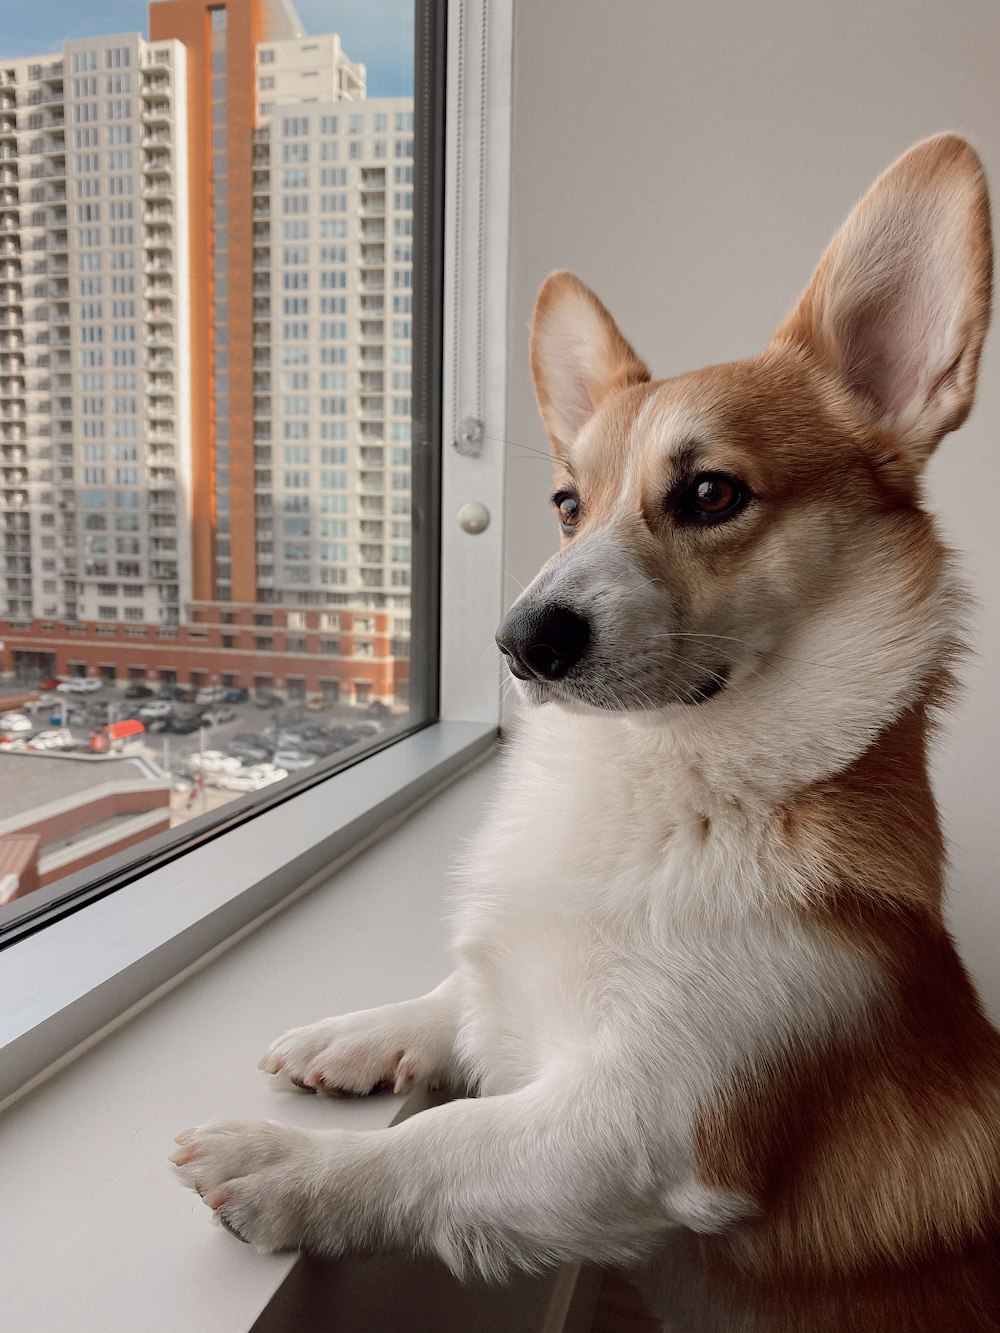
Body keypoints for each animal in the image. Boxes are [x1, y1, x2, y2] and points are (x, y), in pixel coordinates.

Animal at [174, 137, 1000, 1333]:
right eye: (568, 504)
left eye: (711, 493)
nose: (520, 639)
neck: (659, 779)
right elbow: (457, 994)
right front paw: (359, 1036)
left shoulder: (641, 1122)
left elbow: (442, 1141)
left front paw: (290, 1164)